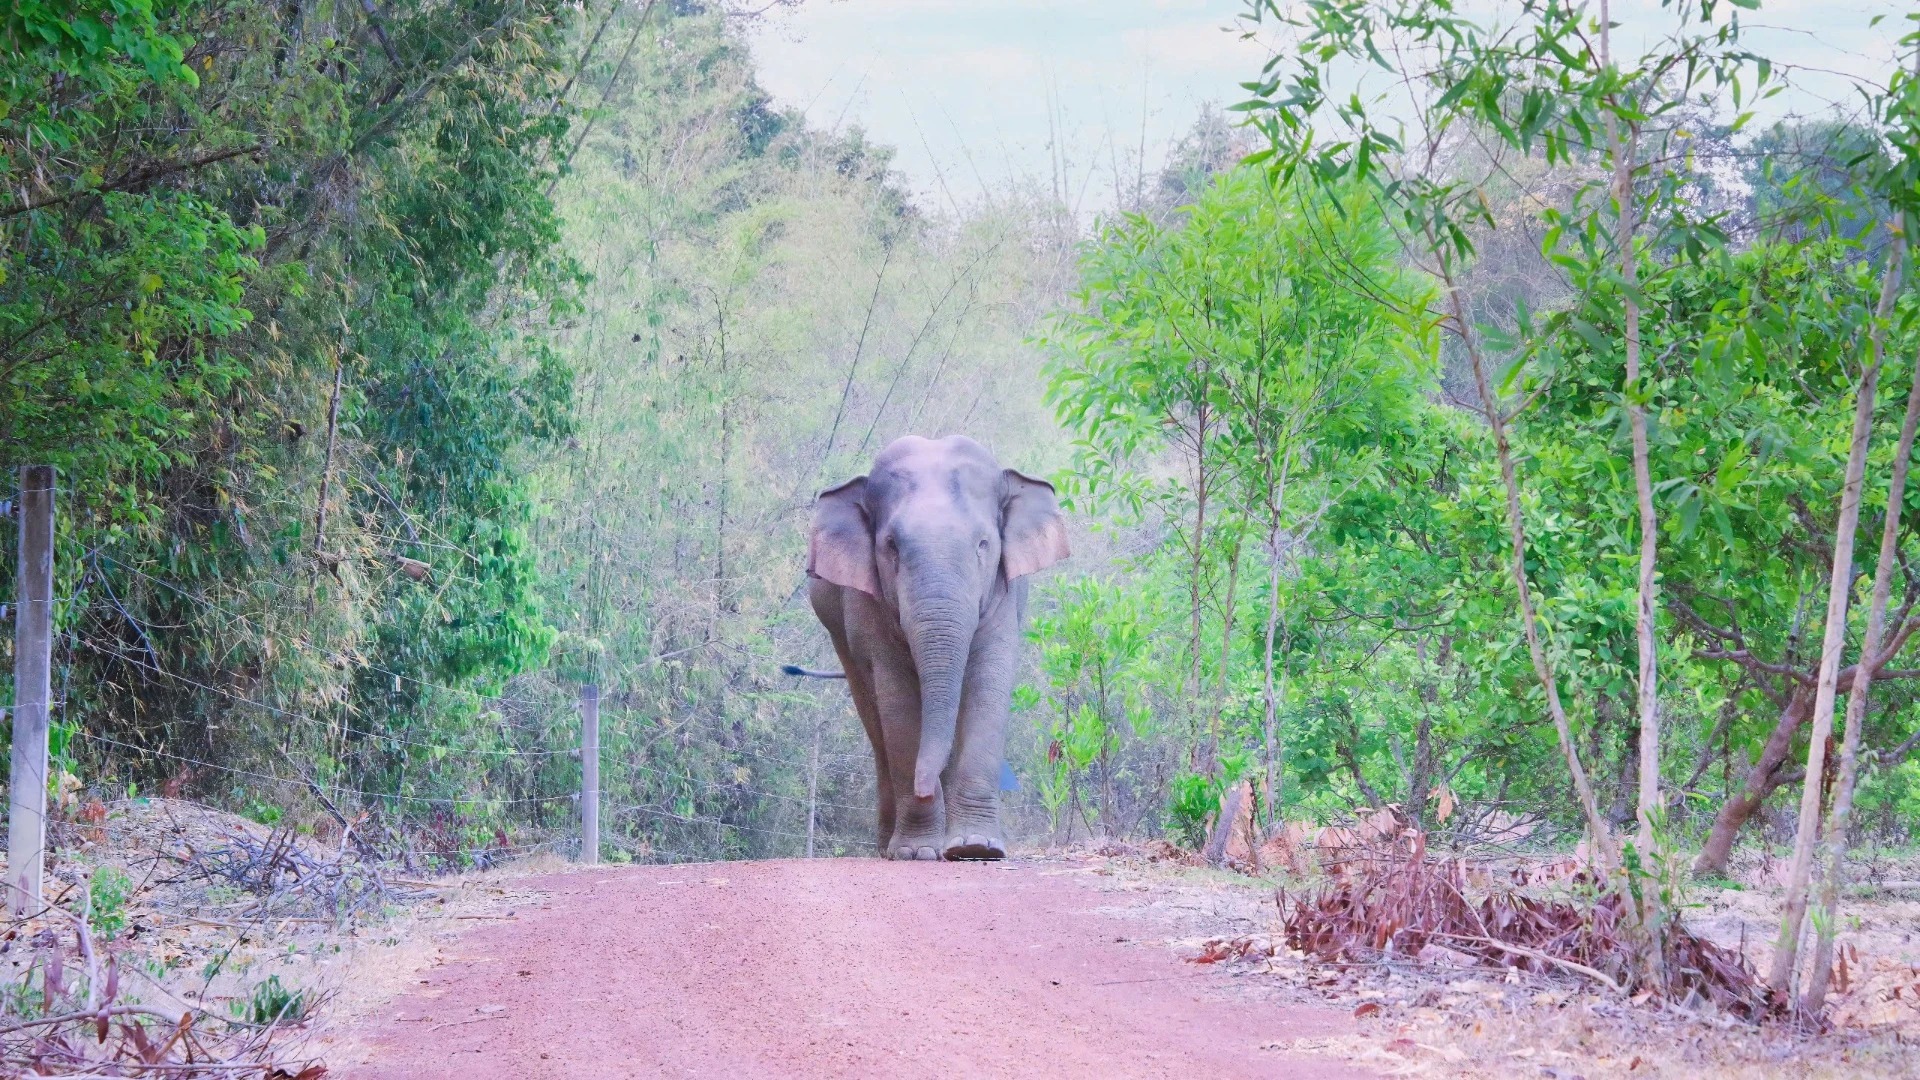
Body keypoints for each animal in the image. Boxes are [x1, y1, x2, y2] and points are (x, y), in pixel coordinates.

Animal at [794, 428, 1067, 857]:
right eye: (891, 546)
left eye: (984, 544)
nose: (925, 787)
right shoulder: (868, 608)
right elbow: (897, 699)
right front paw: (916, 851)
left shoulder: (1005, 596)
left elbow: (988, 682)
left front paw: (977, 847)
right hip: (837, 631)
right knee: (873, 718)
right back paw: (888, 847)